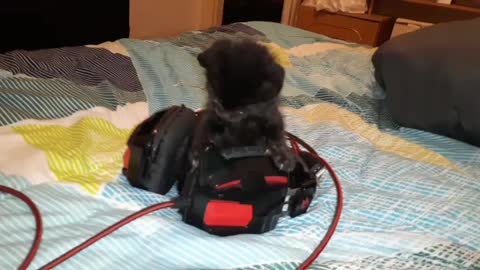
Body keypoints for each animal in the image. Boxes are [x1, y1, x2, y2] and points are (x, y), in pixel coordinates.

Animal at [191, 38, 296, 172]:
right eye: (217, 101)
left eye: (242, 110)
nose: (224, 114)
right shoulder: (211, 113)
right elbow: (203, 128)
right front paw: (197, 153)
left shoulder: (272, 114)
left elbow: (276, 134)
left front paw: (283, 155)